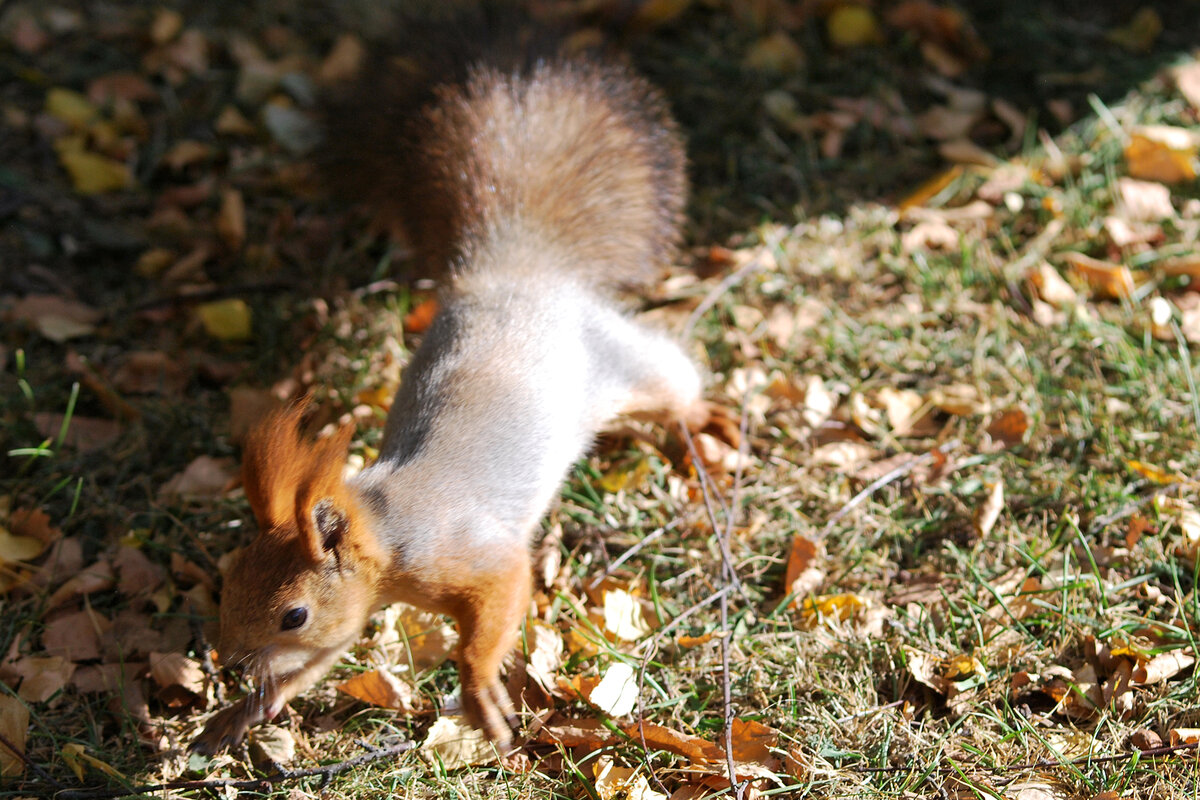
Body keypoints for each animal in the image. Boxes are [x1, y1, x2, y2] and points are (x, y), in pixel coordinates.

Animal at [192, 20, 705, 758]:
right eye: (227, 578)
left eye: (292, 614)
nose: (229, 660)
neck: (387, 527)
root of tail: (515, 271)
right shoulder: (356, 610)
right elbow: (319, 663)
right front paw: (244, 710)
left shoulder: (473, 557)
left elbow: (499, 600)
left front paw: (480, 692)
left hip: (619, 364)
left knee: (676, 377)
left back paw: (707, 425)